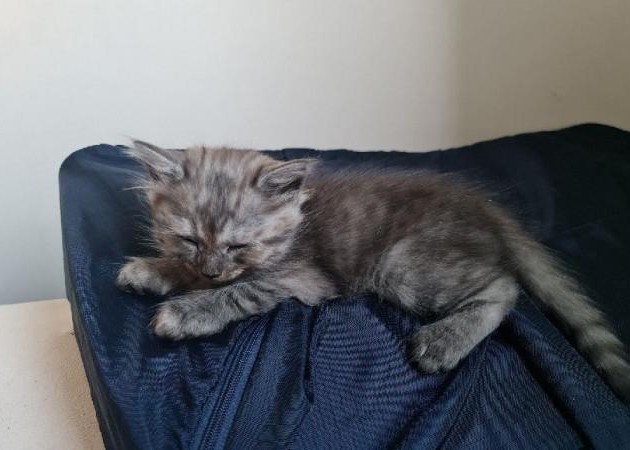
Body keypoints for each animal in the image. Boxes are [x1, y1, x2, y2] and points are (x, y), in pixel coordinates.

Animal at [117, 140, 630, 402]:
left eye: (239, 245)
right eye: (188, 239)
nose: (213, 269)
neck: (295, 225)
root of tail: (485, 208)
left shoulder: (299, 278)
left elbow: (238, 291)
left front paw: (187, 312)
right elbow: (193, 274)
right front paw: (154, 270)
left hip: (404, 264)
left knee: (504, 288)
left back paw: (444, 341)